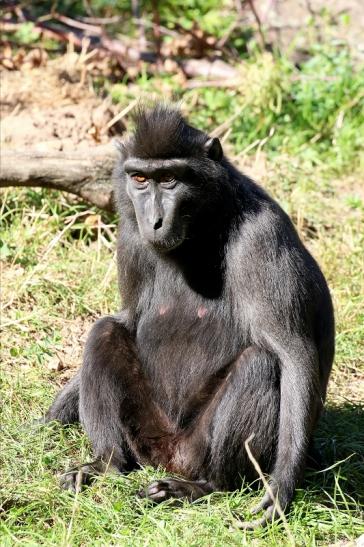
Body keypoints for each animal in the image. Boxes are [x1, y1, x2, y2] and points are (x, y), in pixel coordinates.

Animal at [44, 101, 336, 528]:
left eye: (170, 179)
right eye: (140, 178)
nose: (154, 221)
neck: (203, 226)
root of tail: (169, 456)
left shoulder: (262, 235)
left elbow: (293, 353)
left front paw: (281, 487)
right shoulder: (130, 235)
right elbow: (128, 318)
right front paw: (50, 418)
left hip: (196, 447)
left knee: (261, 362)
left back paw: (203, 486)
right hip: (146, 435)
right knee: (104, 331)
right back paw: (106, 463)